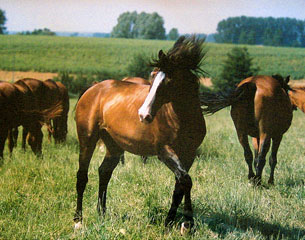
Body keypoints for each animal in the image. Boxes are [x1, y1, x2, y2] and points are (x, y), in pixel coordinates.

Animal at [74, 36, 207, 230]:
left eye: (169, 81)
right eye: (152, 77)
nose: (144, 114)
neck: (182, 119)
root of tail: (93, 89)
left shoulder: (188, 154)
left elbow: (181, 184)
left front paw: (174, 222)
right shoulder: (164, 151)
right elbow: (185, 180)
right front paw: (187, 224)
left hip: (114, 146)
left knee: (104, 172)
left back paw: (102, 214)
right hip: (87, 140)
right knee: (82, 177)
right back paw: (78, 220)